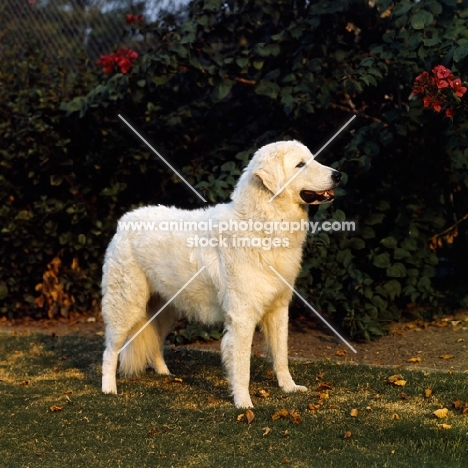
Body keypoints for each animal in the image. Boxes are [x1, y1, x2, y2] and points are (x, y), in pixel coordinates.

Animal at [101, 139, 340, 406]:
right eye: (300, 164)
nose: (338, 175)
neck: (261, 224)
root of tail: (125, 220)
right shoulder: (242, 317)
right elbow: (243, 366)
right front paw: (244, 403)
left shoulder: (278, 309)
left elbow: (281, 355)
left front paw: (288, 387)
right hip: (126, 307)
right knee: (110, 350)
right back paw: (109, 389)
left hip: (164, 309)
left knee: (155, 343)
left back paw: (165, 373)